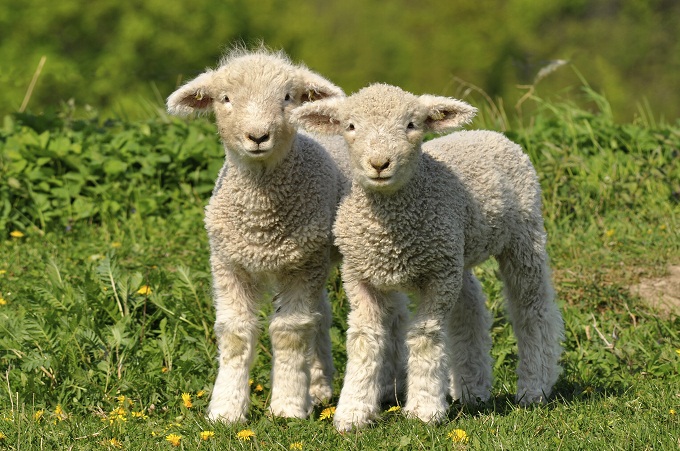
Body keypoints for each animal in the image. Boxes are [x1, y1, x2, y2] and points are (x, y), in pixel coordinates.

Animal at [166, 46, 349, 423]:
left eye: (287, 97)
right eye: (225, 98)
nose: (258, 136)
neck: (261, 223)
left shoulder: (301, 266)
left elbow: (289, 332)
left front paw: (288, 407)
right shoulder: (228, 263)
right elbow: (235, 333)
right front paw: (226, 409)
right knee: (321, 314)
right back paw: (318, 385)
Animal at [291, 83, 564, 431]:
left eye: (411, 125)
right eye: (350, 126)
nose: (379, 163)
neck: (390, 230)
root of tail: (490, 134)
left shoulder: (438, 277)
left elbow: (424, 337)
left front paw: (424, 409)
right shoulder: (360, 276)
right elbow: (364, 339)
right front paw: (353, 412)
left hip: (523, 235)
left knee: (532, 308)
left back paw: (534, 387)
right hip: (457, 251)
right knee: (470, 306)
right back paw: (472, 389)